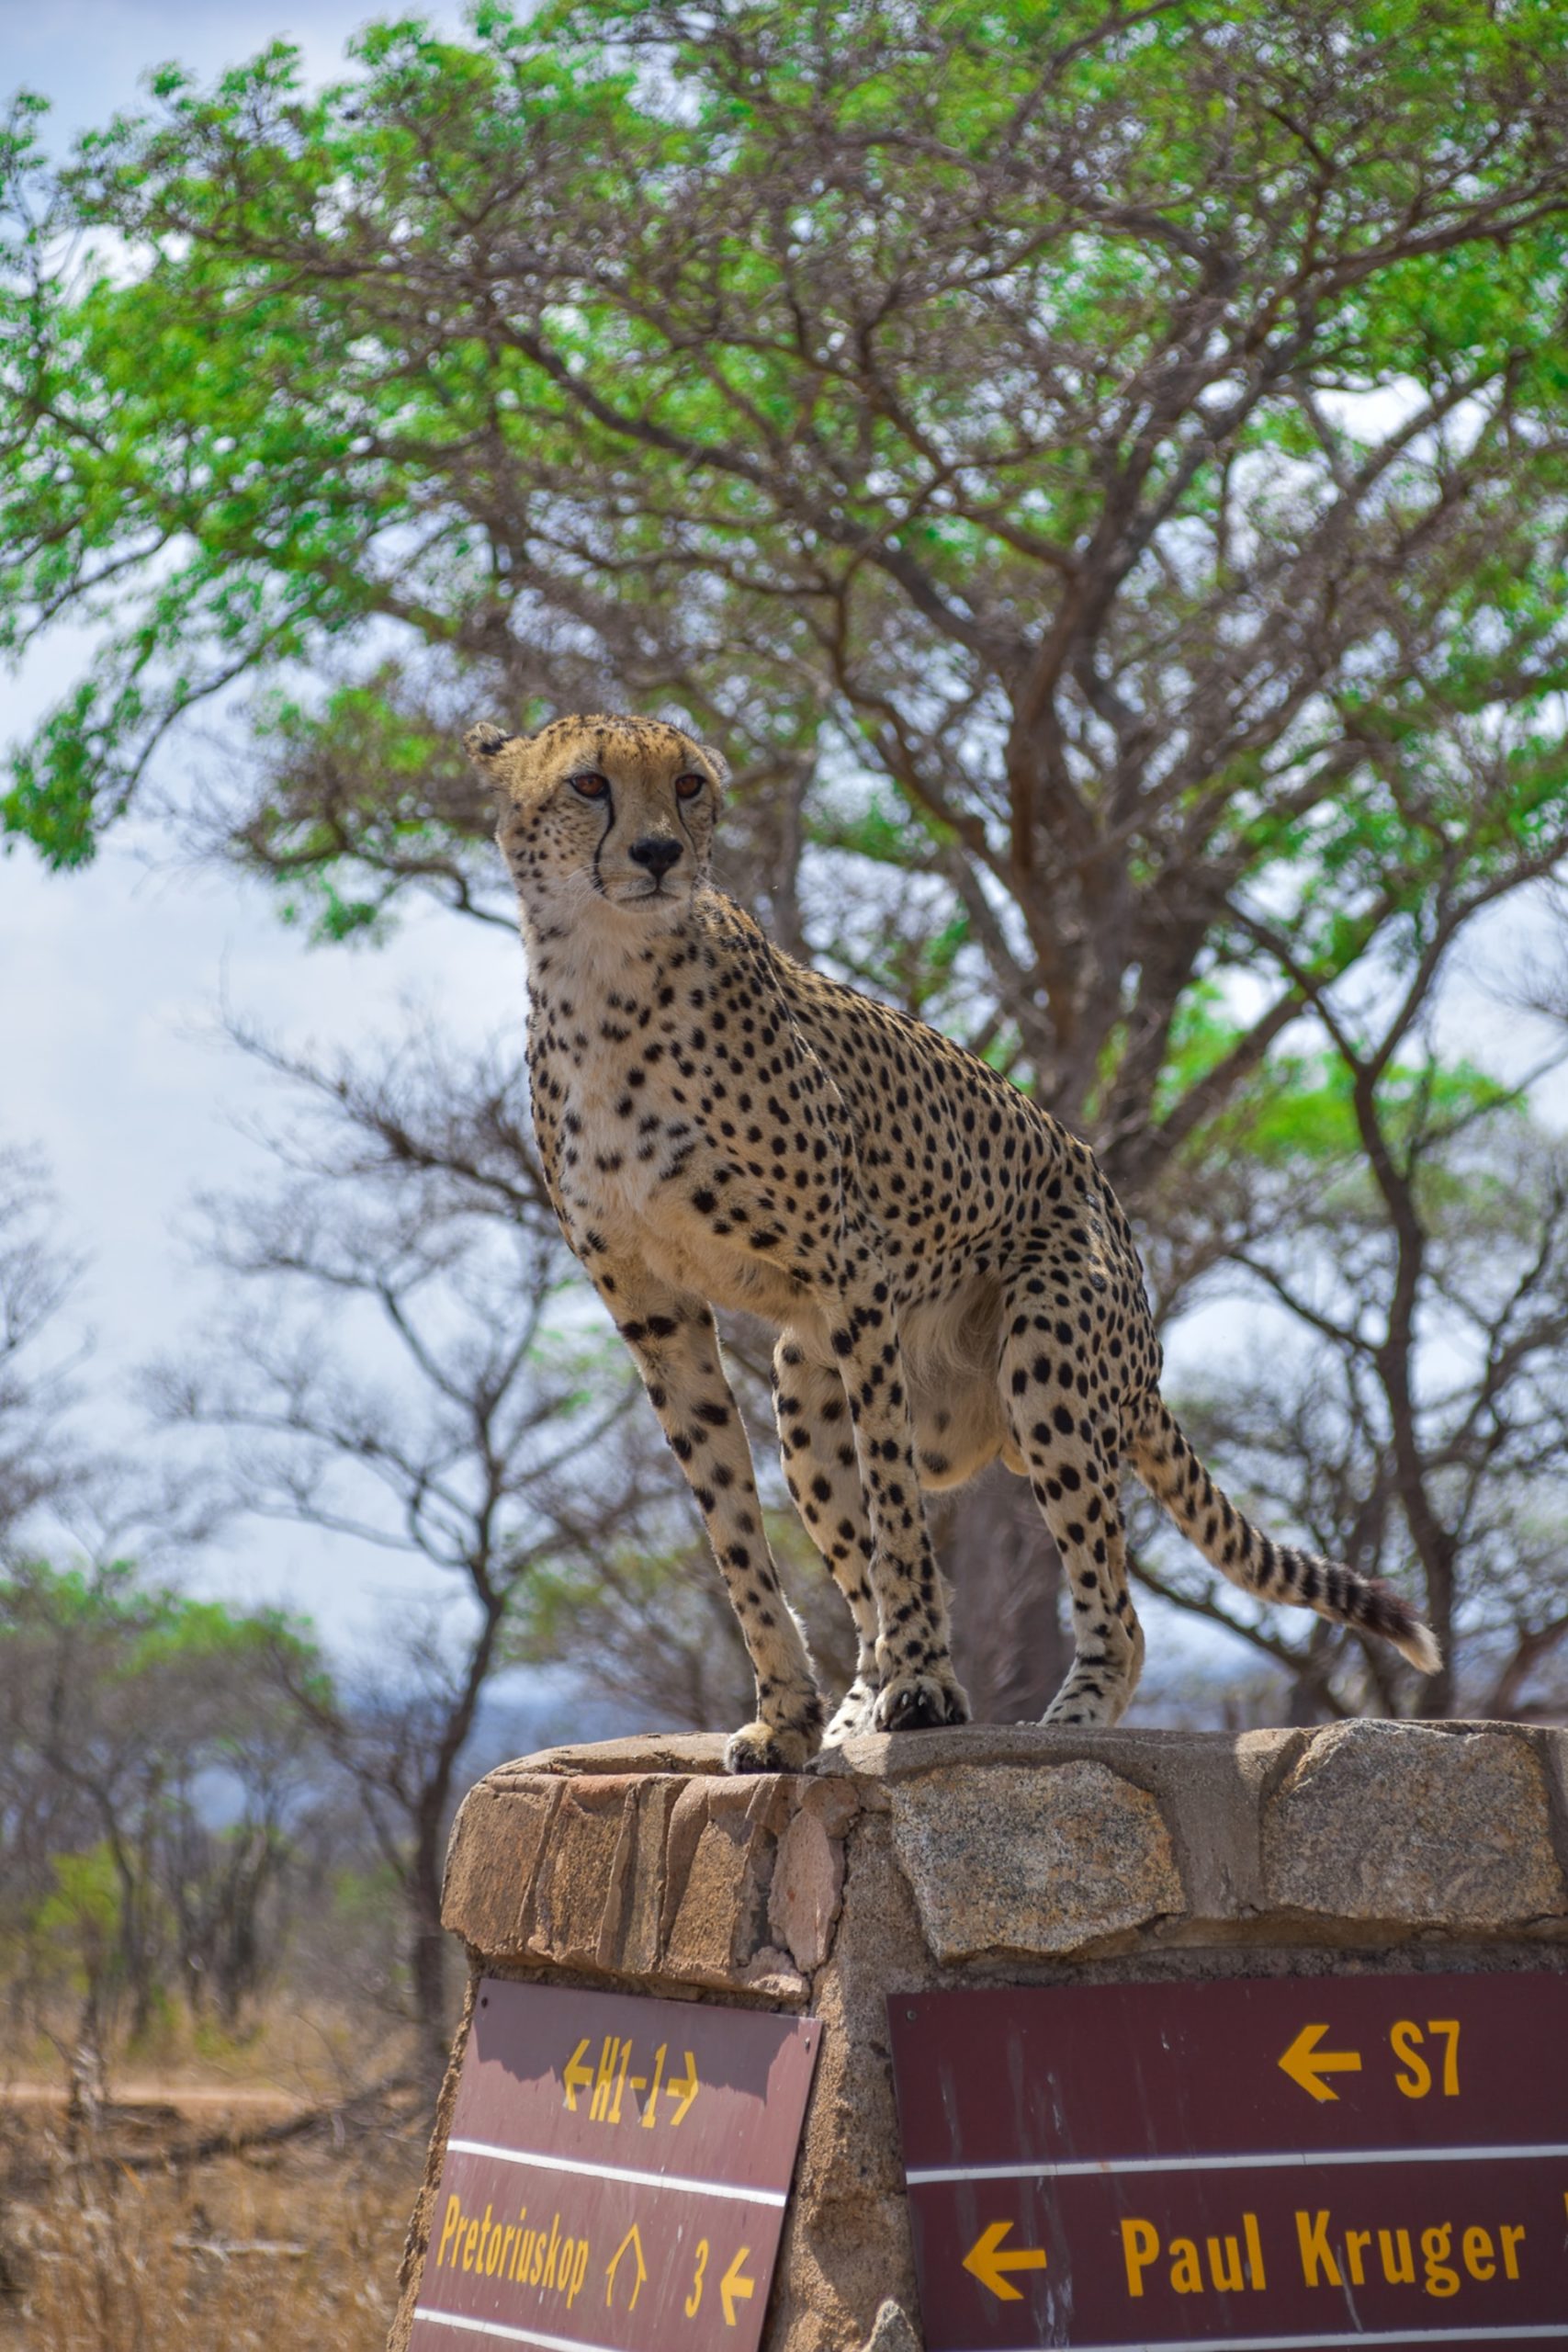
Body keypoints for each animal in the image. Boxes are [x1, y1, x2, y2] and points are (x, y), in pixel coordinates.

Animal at [463, 706, 1438, 1769]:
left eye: (688, 785)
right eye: (589, 783)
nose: (658, 853)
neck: (606, 968)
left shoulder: (852, 1270)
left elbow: (897, 1512)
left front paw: (927, 1684)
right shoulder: (654, 1311)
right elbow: (732, 1528)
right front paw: (786, 1716)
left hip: (1050, 1353)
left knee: (1116, 1609)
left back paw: (1062, 1725)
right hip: (806, 1396)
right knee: (857, 1567)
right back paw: (854, 1708)